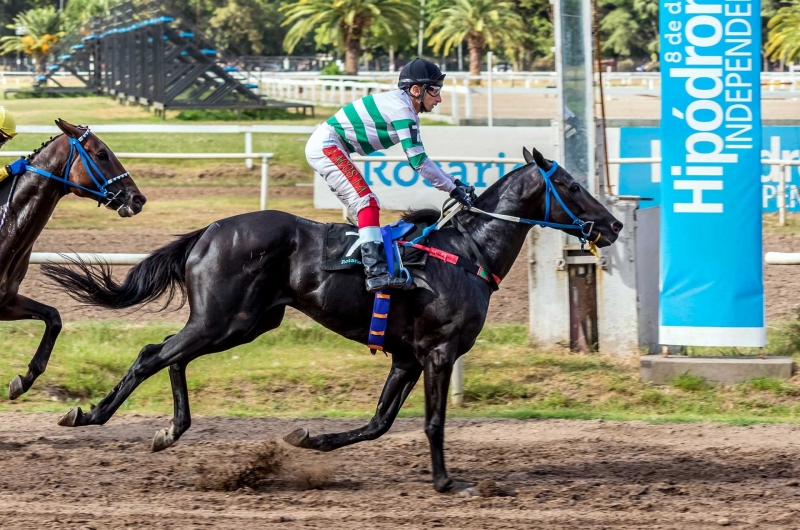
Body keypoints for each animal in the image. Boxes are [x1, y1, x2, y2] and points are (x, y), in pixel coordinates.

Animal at [42, 146, 620, 492]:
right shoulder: (438, 351)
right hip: (224, 320)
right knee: (152, 354)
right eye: (571, 185)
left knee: (171, 354)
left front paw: (307, 440)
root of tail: (208, 230)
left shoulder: (407, 358)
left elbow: (378, 424)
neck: (467, 252)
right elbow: (432, 423)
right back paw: (90, 416)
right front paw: (445, 482)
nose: (613, 224)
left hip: (242, 324)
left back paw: (170, 429)